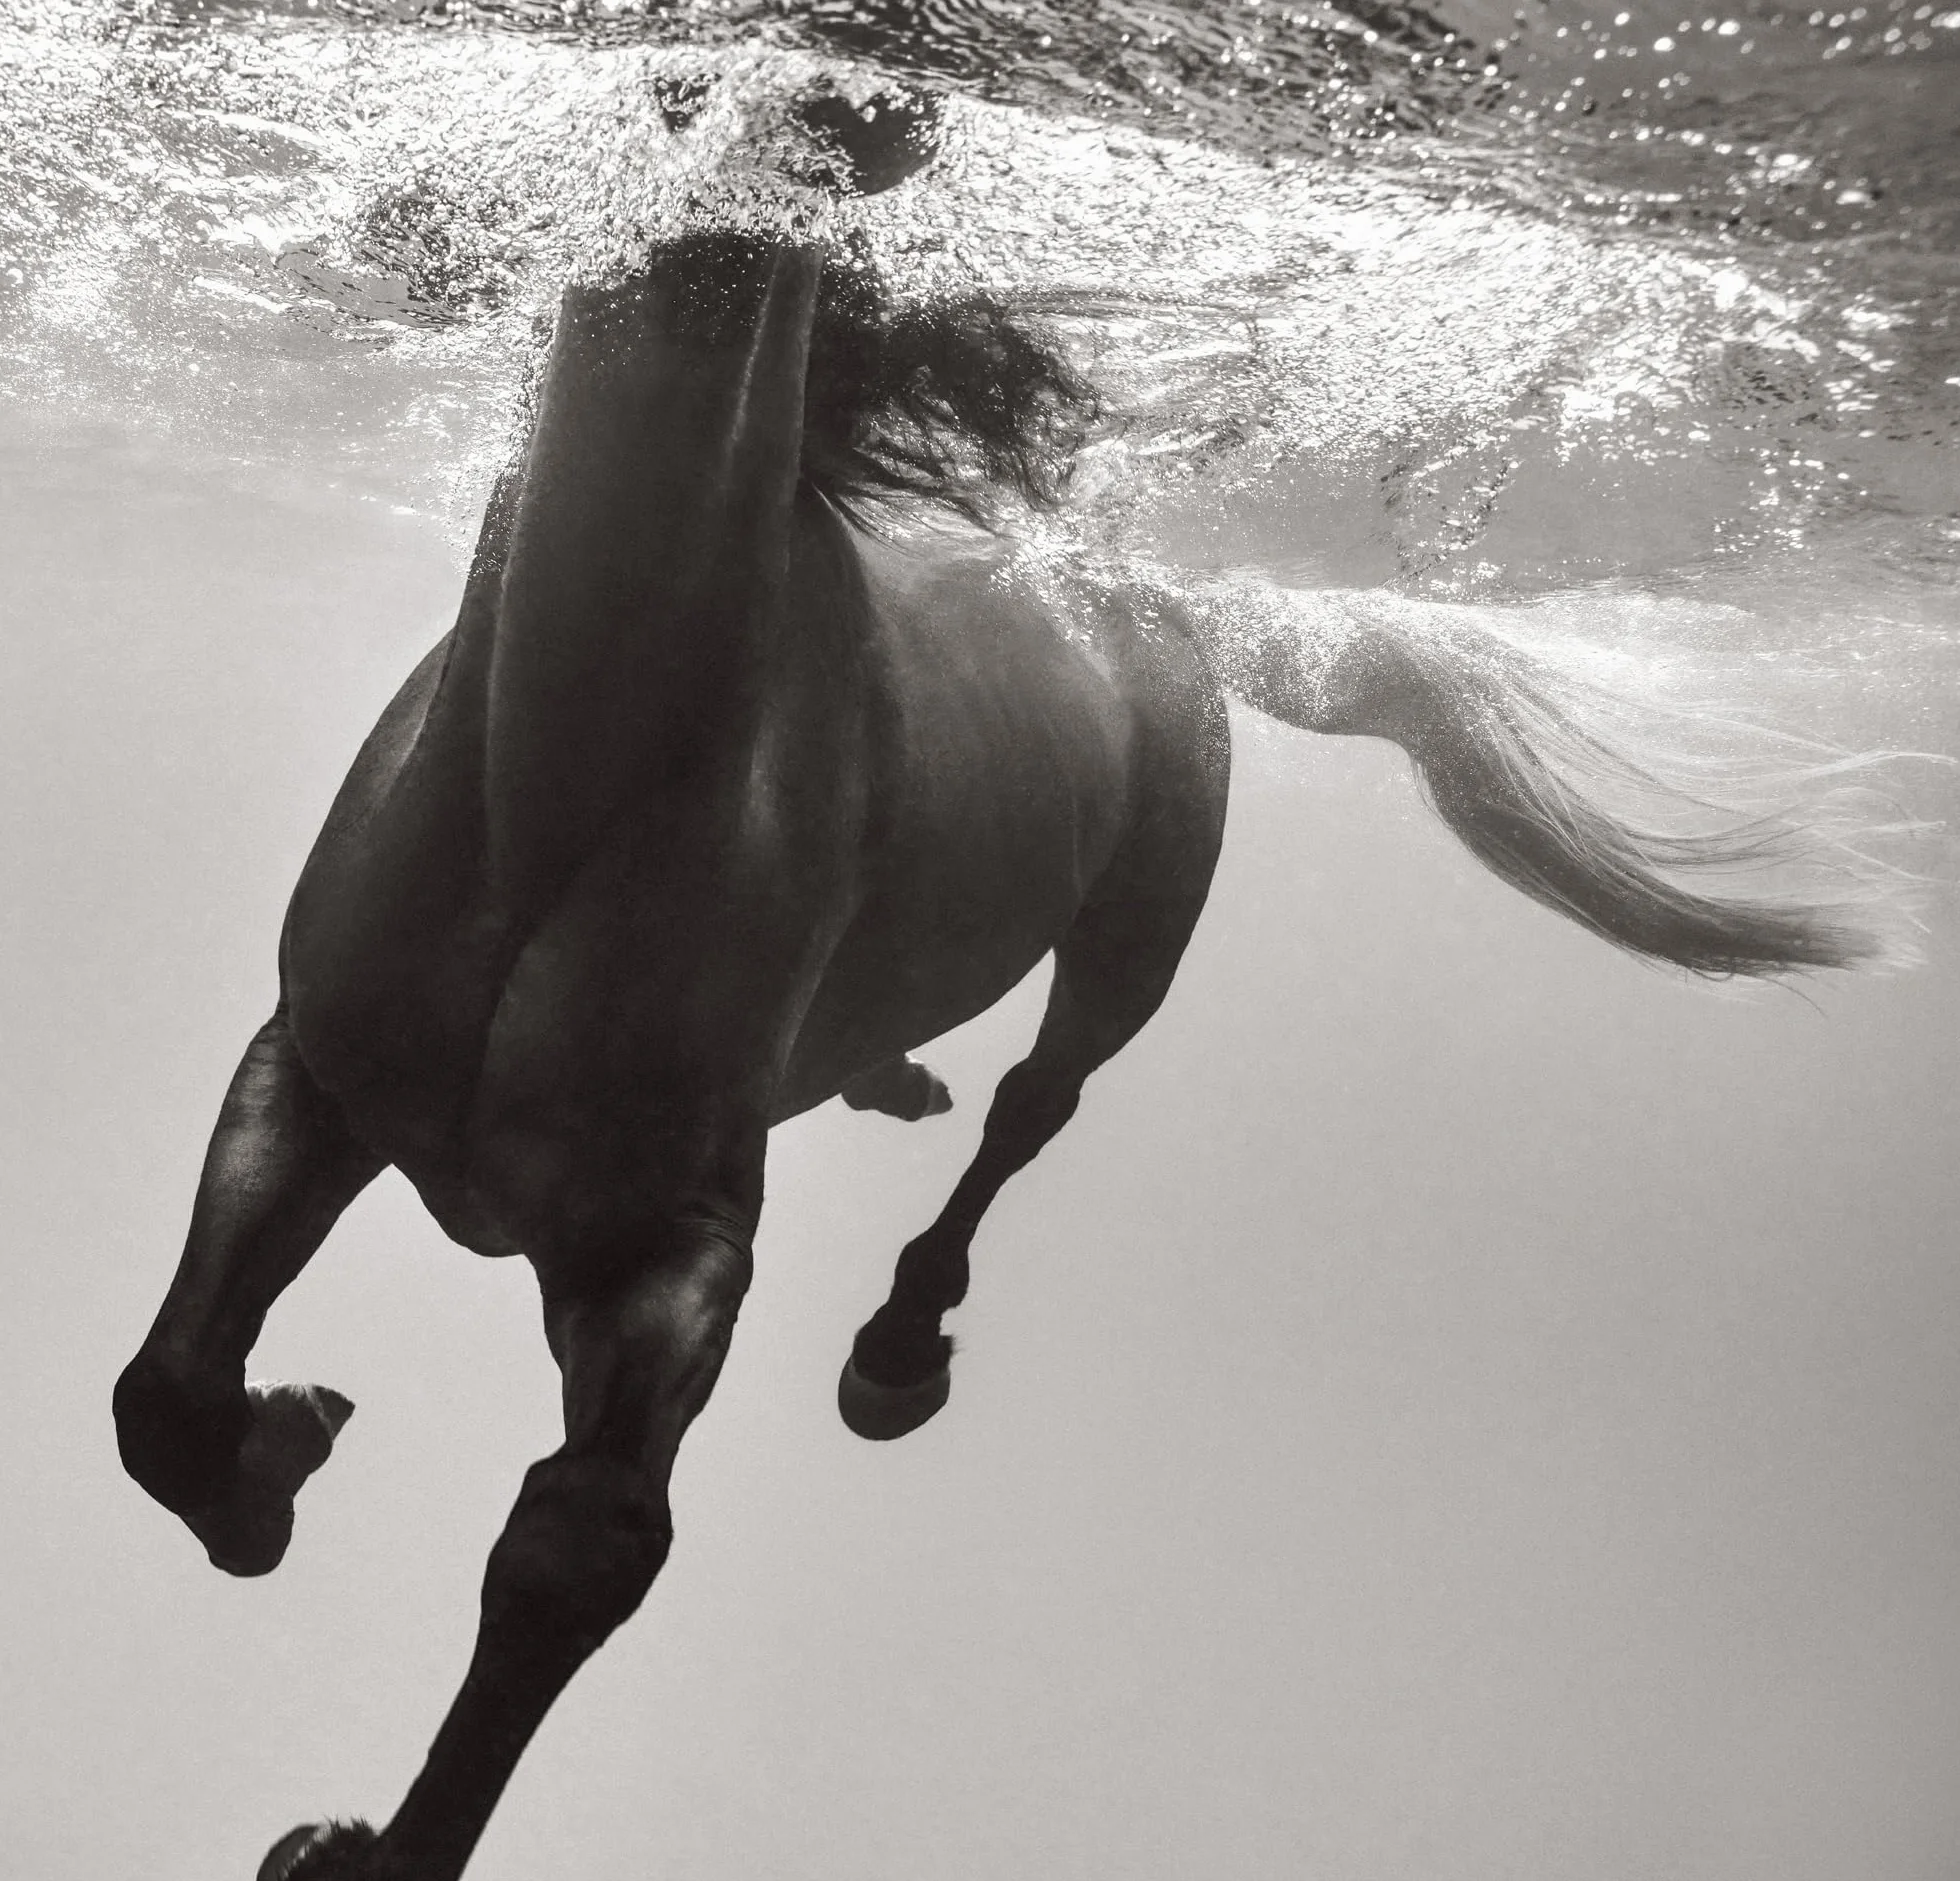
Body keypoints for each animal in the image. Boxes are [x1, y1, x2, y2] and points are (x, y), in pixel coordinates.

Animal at [108, 89, 1880, 1881]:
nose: (857, 103)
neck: (572, 769)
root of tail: (1157, 605)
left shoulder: (675, 1240)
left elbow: (573, 1547)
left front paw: (360, 1827)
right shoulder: (310, 1072)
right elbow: (164, 1386)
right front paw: (276, 1451)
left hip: (1142, 926)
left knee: (1037, 1105)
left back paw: (900, 1348)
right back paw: (889, 1078)